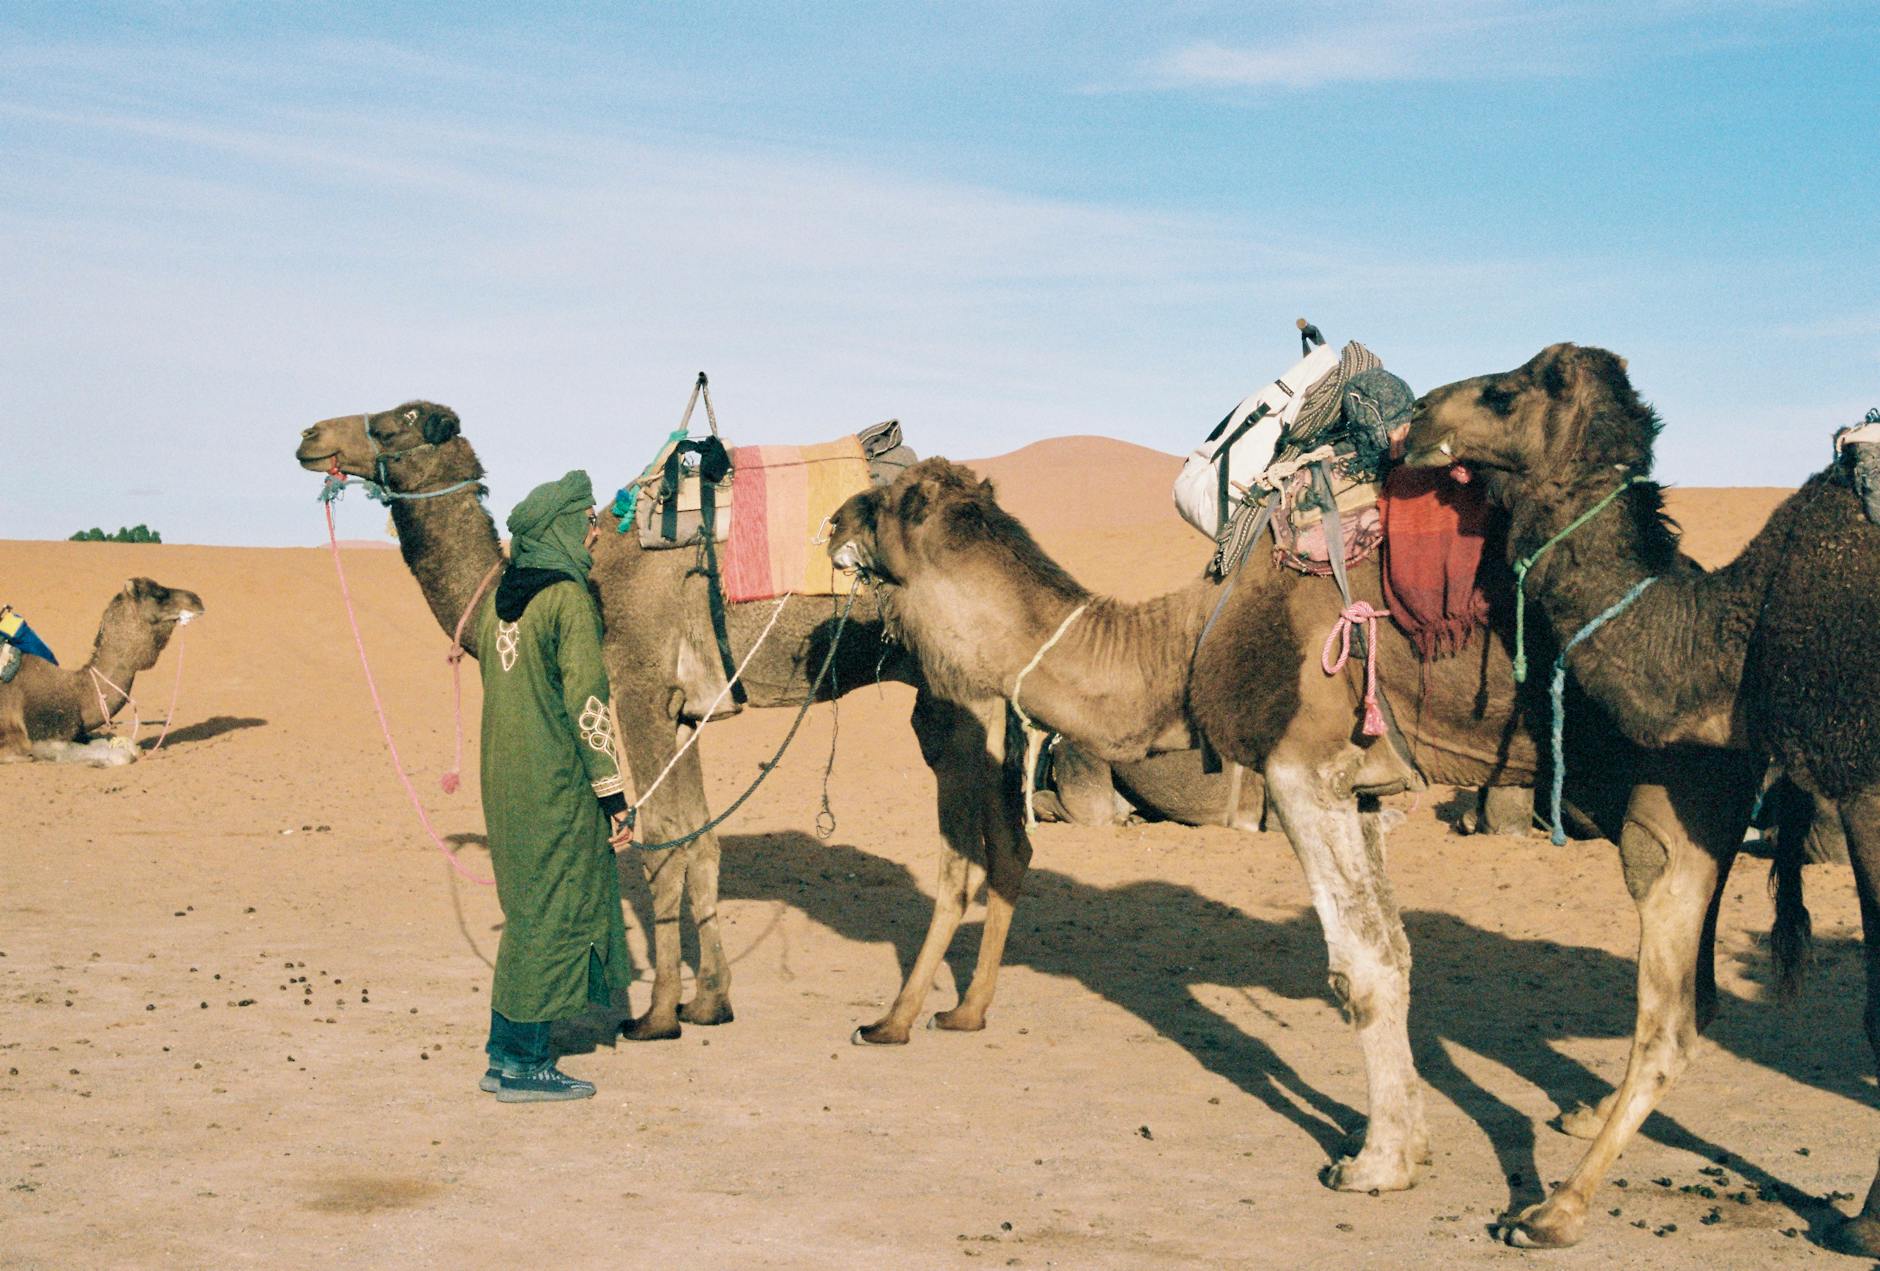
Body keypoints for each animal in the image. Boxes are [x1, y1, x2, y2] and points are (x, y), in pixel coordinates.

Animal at [0, 578, 203, 765]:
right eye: (159, 595)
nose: (197, 599)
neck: (74, 692)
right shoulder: (46, 738)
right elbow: (122, 756)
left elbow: (121, 744)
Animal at [823, 456, 1716, 1193]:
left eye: (900, 502)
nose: (833, 520)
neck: (1179, 648)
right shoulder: (1361, 790)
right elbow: (1397, 952)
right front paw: (1409, 1143)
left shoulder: (1302, 769)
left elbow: (1361, 968)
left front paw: (1375, 1164)